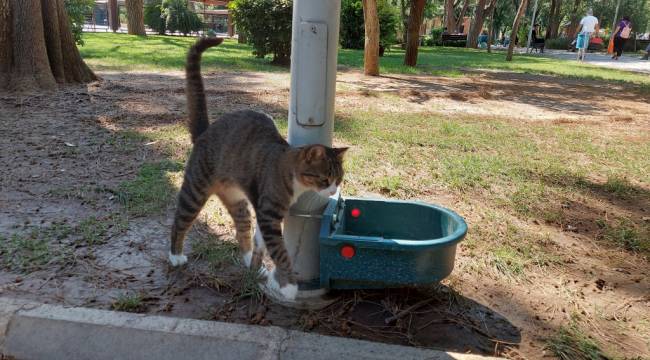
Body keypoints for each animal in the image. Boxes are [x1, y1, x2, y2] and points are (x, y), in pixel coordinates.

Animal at [170, 37, 346, 300]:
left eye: (339, 180)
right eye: (325, 179)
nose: (333, 191)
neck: (287, 168)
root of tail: (204, 133)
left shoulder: (266, 211)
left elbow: (261, 241)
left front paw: (258, 265)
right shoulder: (269, 212)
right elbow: (280, 251)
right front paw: (289, 285)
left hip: (238, 200)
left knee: (242, 228)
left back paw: (248, 260)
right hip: (195, 189)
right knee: (180, 219)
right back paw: (175, 255)